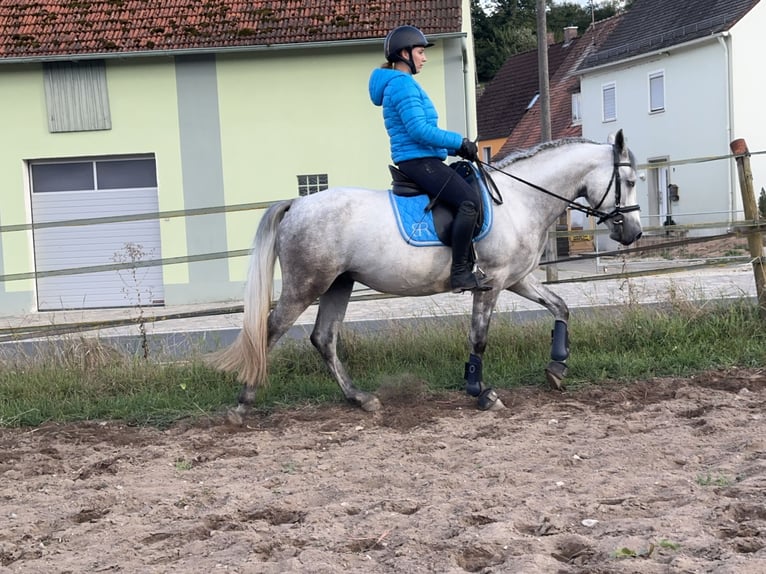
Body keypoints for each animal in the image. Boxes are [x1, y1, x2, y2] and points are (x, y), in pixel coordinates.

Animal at [210, 132, 640, 418]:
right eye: (631, 181)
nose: (633, 233)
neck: (519, 202)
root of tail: (297, 204)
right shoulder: (491, 283)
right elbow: (479, 338)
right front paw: (481, 392)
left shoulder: (517, 279)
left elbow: (561, 307)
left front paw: (556, 368)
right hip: (307, 285)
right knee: (271, 330)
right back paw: (243, 404)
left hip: (339, 283)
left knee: (324, 338)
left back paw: (361, 399)